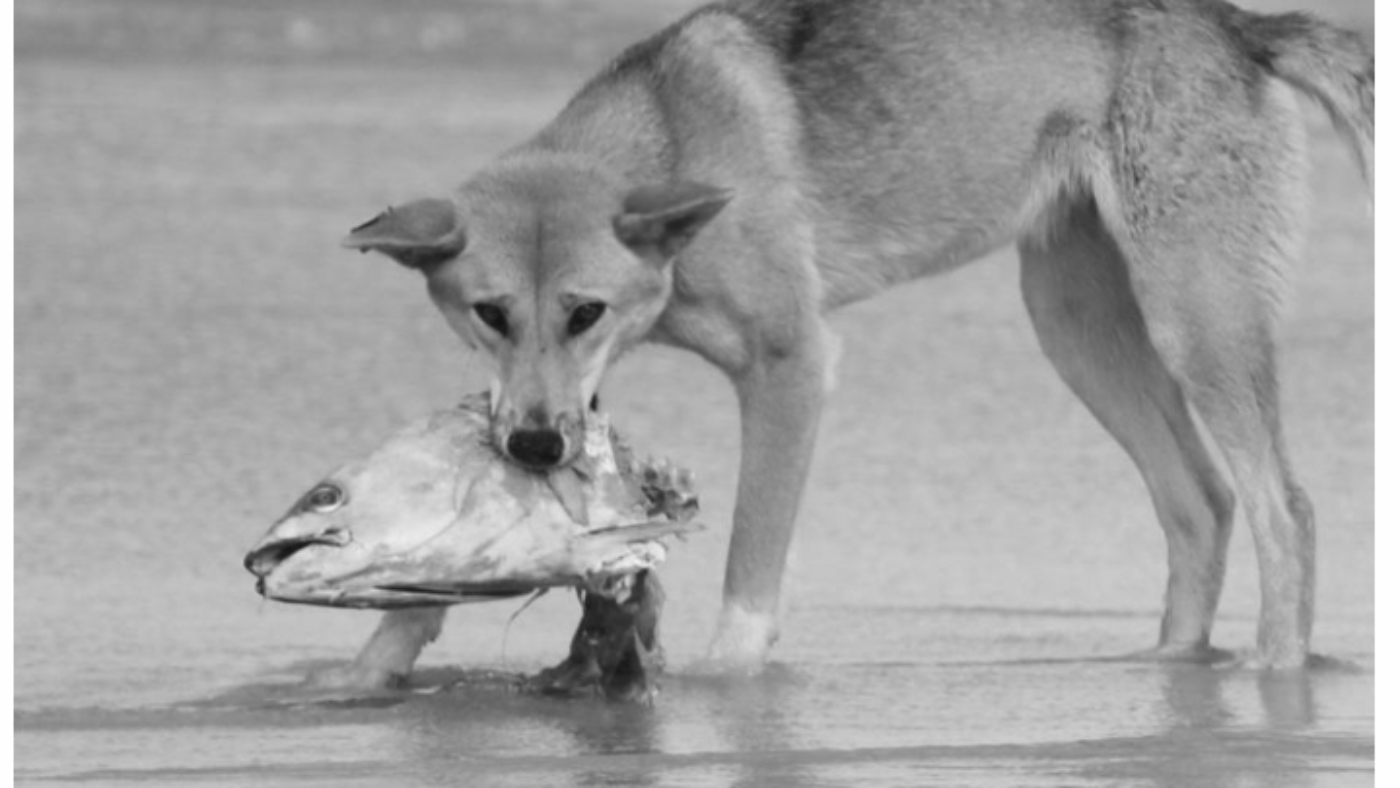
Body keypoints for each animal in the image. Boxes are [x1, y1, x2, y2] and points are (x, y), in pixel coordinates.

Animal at [324, 0, 1366, 685]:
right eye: (488, 314)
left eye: (586, 312)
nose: (536, 446)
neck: (672, 145)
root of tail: (1240, 29)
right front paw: (372, 664)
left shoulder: (791, 367)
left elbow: (751, 562)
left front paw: (723, 683)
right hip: (1076, 326)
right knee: (1200, 501)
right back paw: (1169, 665)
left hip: (1194, 320)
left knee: (1285, 509)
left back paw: (1275, 673)